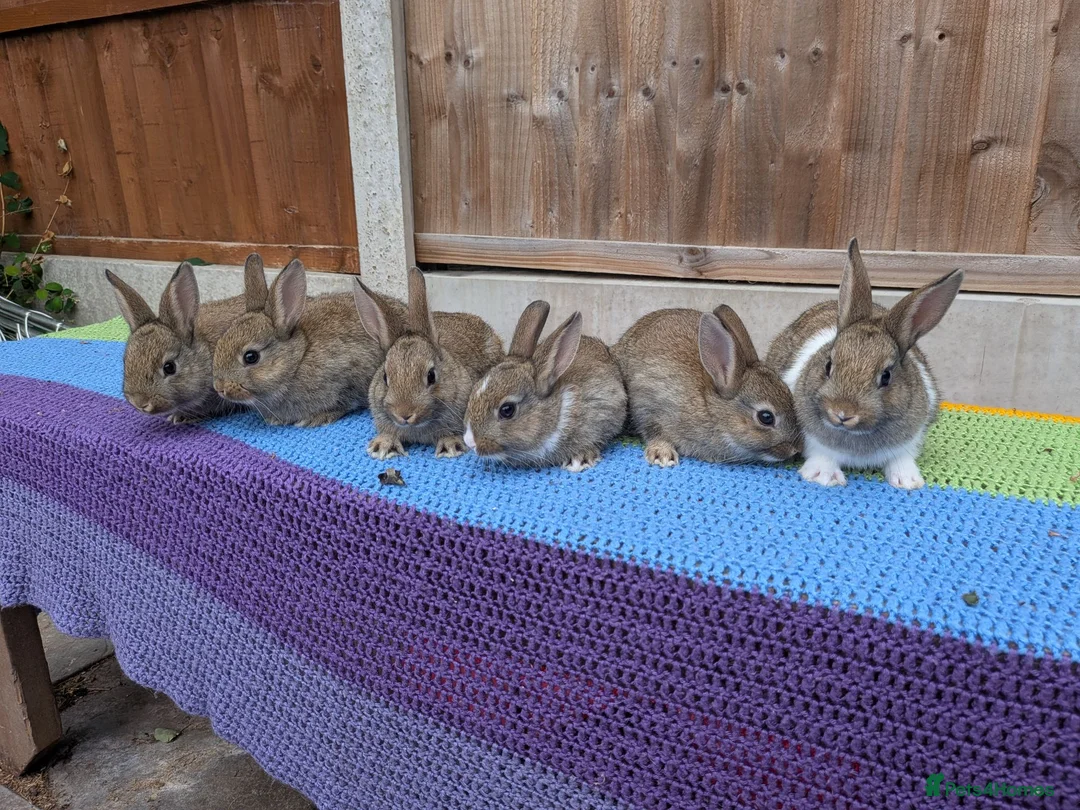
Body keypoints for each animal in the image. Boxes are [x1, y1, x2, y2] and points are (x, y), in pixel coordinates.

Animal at [613, 304, 800, 467]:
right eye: (766, 417)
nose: (794, 450)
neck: (711, 408)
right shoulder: (650, 402)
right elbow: (654, 431)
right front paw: (663, 455)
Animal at [765, 237, 963, 490]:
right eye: (829, 365)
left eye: (886, 376)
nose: (842, 413)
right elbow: (822, 455)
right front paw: (823, 477)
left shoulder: (910, 439)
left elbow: (902, 459)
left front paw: (908, 481)